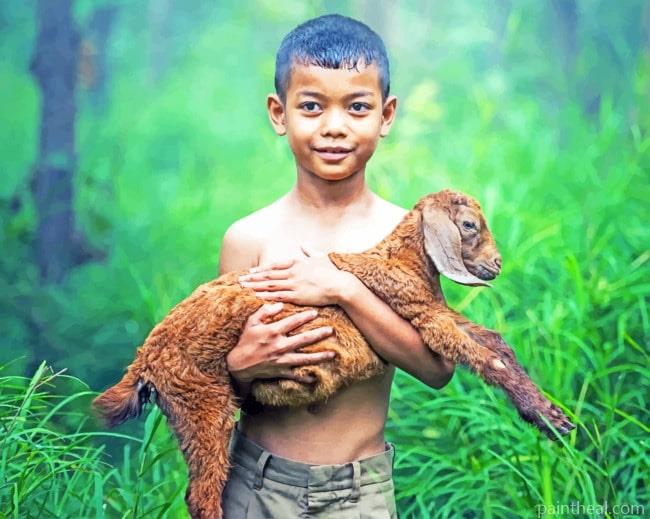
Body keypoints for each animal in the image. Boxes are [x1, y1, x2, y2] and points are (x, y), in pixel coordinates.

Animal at [93, 189, 575, 519]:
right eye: (470, 226)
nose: (496, 265)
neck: (401, 262)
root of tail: (144, 361)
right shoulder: (422, 316)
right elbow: (488, 360)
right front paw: (548, 418)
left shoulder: (436, 311)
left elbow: (496, 342)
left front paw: (550, 415)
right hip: (201, 402)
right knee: (202, 493)